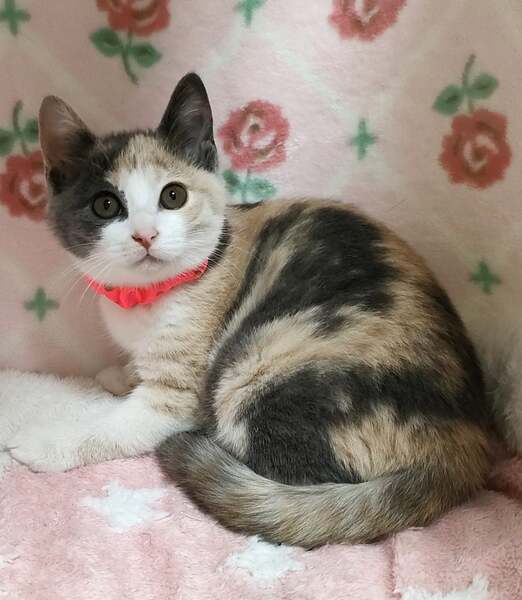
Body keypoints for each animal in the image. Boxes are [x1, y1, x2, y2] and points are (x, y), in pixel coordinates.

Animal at [10, 73, 491, 547]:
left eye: (173, 196)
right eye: (106, 205)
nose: (145, 236)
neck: (149, 295)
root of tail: (470, 440)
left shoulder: (177, 395)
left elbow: (115, 427)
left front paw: (46, 444)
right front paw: (120, 373)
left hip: (258, 366)